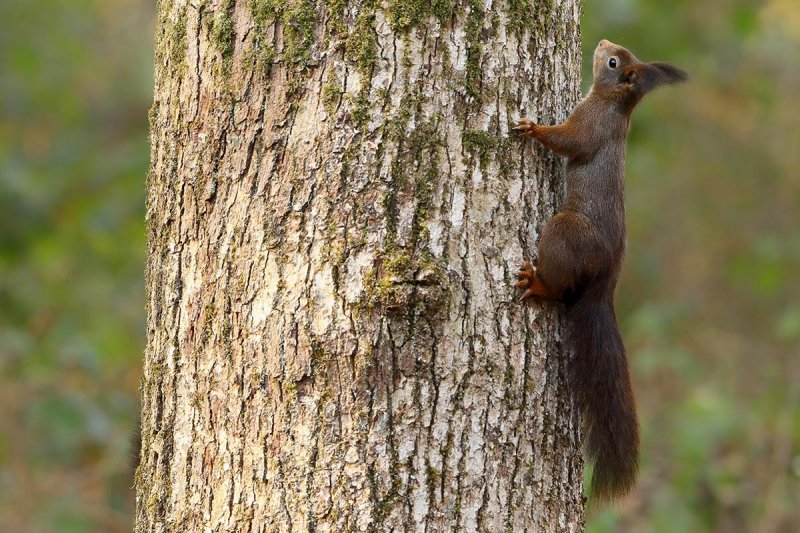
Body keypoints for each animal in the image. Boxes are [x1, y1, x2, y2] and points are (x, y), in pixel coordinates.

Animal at [516, 39, 684, 500]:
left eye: (612, 63)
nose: (604, 43)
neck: (614, 105)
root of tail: (607, 279)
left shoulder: (591, 126)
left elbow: (569, 140)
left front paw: (533, 128)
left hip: (564, 233)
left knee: (558, 288)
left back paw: (538, 284)